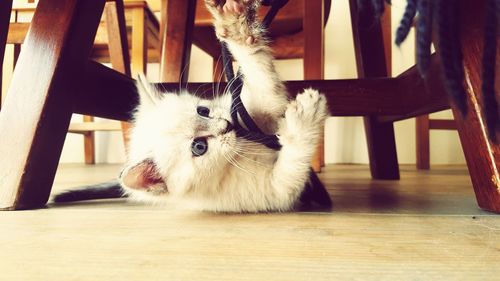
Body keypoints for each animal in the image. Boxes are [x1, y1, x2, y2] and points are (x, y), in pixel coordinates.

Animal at [54, 0, 330, 211]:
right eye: (199, 147)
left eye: (203, 111)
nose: (227, 125)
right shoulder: (275, 191)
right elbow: (294, 161)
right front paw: (305, 117)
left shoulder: (254, 110)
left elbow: (261, 77)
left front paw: (235, 26)